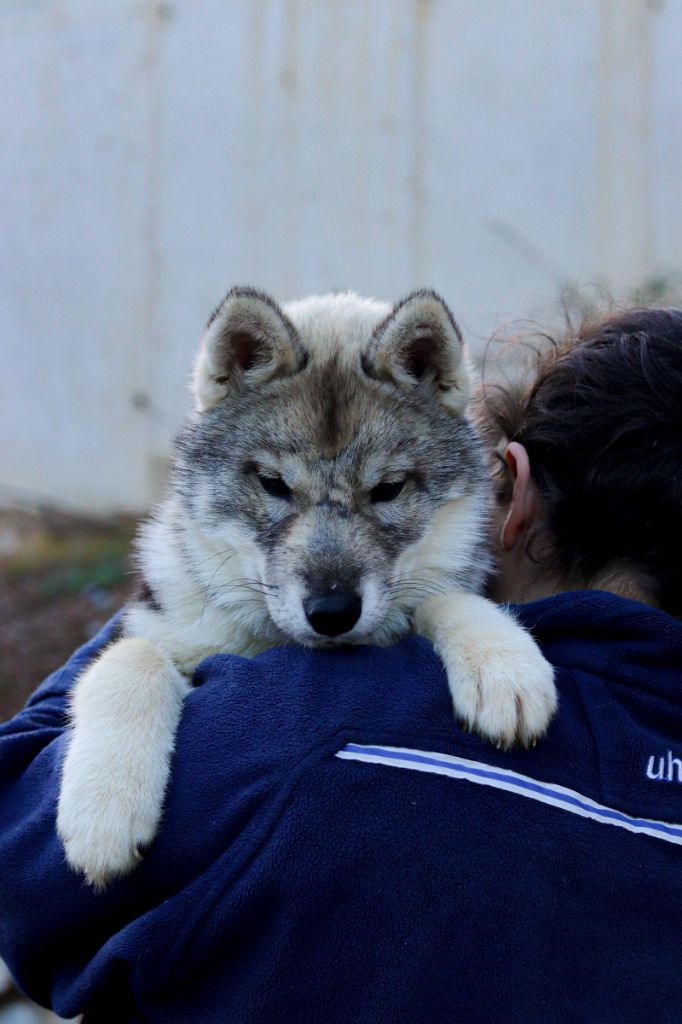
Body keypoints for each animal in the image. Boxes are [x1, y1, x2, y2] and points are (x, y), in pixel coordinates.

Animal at [57, 288, 557, 888]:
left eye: (388, 489)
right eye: (273, 484)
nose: (333, 611)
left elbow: (445, 596)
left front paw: (501, 662)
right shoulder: (159, 624)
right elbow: (129, 657)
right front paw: (106, 806)